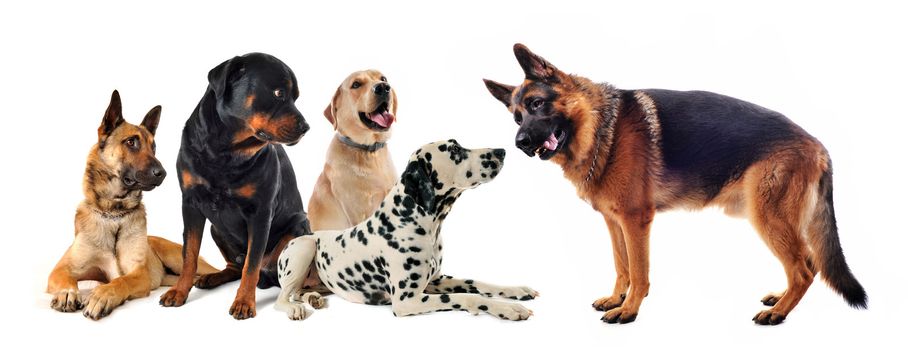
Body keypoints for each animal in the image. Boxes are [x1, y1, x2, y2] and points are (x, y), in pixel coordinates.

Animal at [48, 91, 220, 320]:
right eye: (131, 142)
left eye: (153, 147)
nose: (163, 173)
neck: (113, 213)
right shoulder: (61, 269)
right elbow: (65, 278)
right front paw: (67, 293)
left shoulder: (138, 273)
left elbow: (120, 281)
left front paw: (101, 295)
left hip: (178, 257)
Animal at [158, 52, 310, 320]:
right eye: (279, 93)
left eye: (295, 97)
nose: (306, 127)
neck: (225, 150)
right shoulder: (190, 203)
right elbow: (189, 254)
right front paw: (179, 291)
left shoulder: (260, 213)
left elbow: (252, 264)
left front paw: (244, 302)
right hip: (216, 229)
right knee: (235, 266)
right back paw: (212, 277)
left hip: (299, 227)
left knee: (259, 266)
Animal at [274, 139, 536, 320]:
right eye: (455, 150)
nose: (501, 151)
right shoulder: (406, 300)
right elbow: (467, 296)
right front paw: (508, 308)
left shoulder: (436, 280)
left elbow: (478, 283)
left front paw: (516, 290)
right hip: (303, 249)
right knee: (282, 298)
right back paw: (295, 308)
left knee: (299, 291)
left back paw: (313, 298)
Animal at [486, 44, 868, 326]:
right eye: (517, 117)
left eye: (537, 104)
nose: (519, 143)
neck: (601, 129)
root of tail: (818, 145)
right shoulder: (614, 221)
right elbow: (622, 265)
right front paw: (616, 298)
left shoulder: (636, 220)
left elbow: (639, 271)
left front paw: (629, 310)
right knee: (810, 263)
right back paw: (780, 298)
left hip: (767, 217)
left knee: (803, 269)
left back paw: (778, 313)